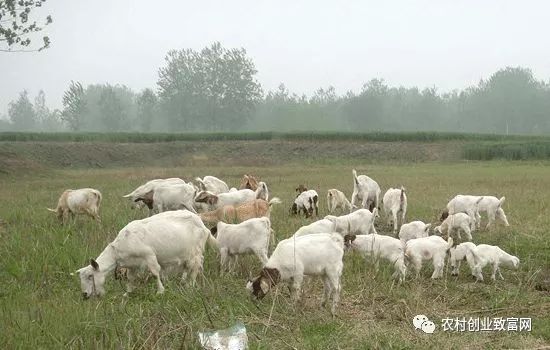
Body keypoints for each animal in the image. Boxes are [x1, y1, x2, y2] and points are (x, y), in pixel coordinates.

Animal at [76, 211, 215, 298]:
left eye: (90, 276)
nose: (84, 295)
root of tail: (203, 225)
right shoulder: (132, 264)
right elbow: (130, 278)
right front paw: (127, 293)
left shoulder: (149, 256)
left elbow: (155, 273)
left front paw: (160, 291)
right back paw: (186, 281)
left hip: (195, 251)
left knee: (195, 267)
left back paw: (190, 286)